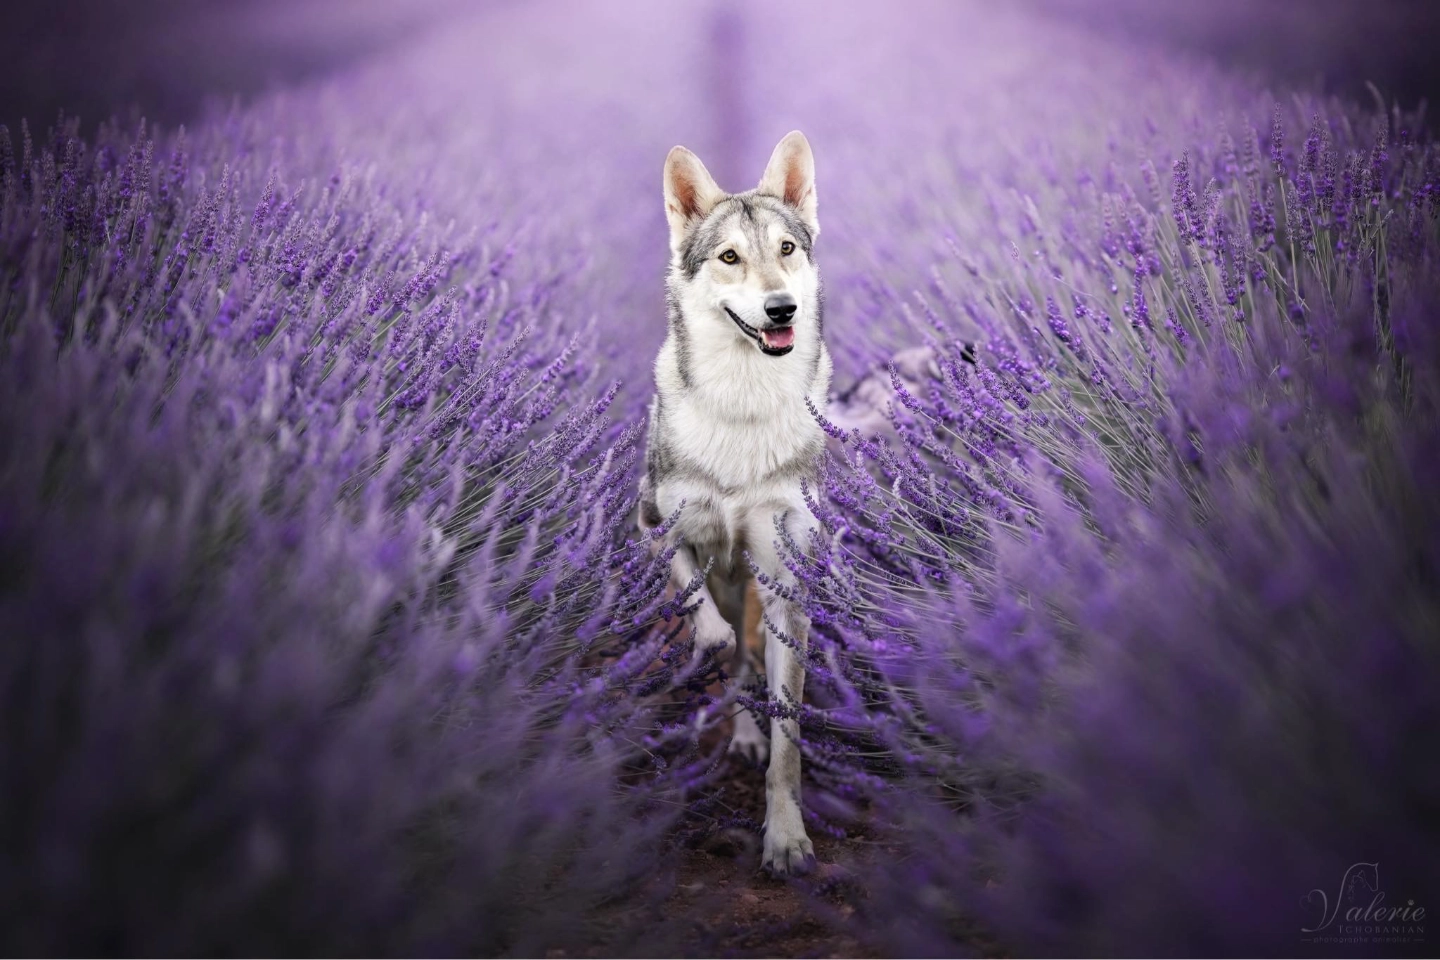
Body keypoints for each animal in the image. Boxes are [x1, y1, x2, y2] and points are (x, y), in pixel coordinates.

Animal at [638, 131, 830, 875]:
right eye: (729, 257)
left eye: (787, 249)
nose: (782, 310)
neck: (743, 409)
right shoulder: (655, 525)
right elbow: (704, 617)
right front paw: (707, 647)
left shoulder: (784, 585)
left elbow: (788, 743)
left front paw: (786, 837)